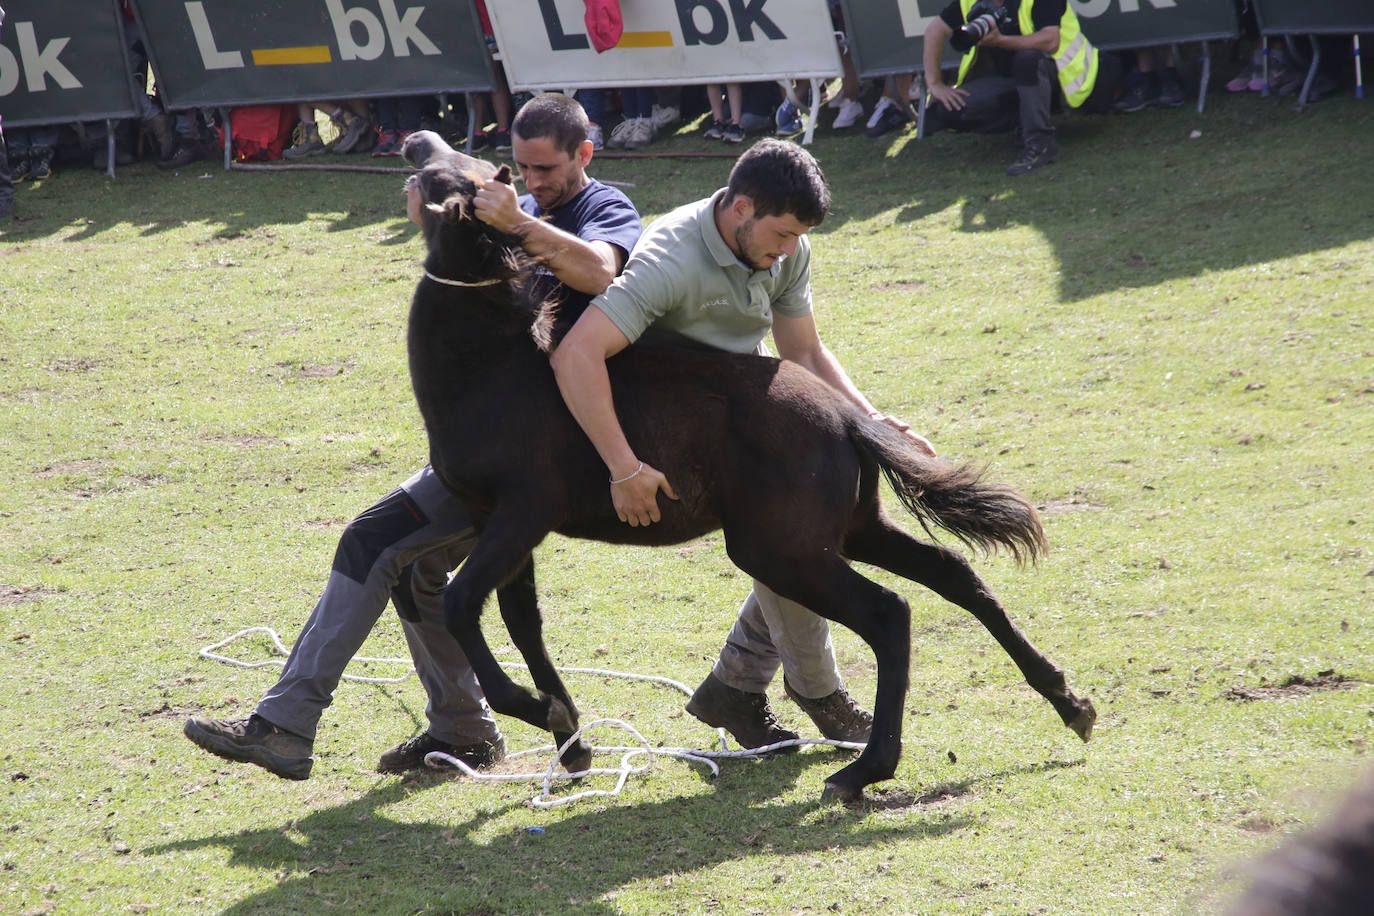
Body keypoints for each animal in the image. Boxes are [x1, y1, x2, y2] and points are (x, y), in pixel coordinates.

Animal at [401, 130, 1093, 802]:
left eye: (447, 175)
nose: (415, 143)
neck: (494, 369)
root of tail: (846, 419)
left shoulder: (522, 513)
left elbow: (462, 603)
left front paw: (537, 709)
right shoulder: (500, 524)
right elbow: (521, 622)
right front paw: (572, 741)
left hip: (781, 550)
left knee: (889, 614)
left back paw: (864, 769)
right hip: (848, 532)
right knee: (955, 574)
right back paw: (1070, 703)